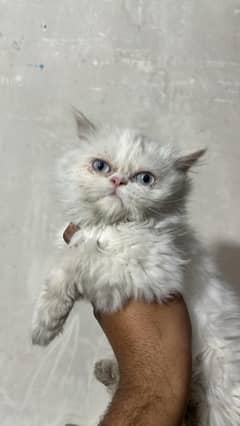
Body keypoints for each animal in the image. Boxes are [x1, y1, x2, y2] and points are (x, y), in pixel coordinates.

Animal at [32, 110, 240, 426]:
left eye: (145, 179)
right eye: (100, 166)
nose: (118, 181)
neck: (113, 226)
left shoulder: (149, 270)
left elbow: (77, 261)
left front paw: (45, 325)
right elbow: (68, 262)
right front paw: (48, 318)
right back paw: (105, 370)